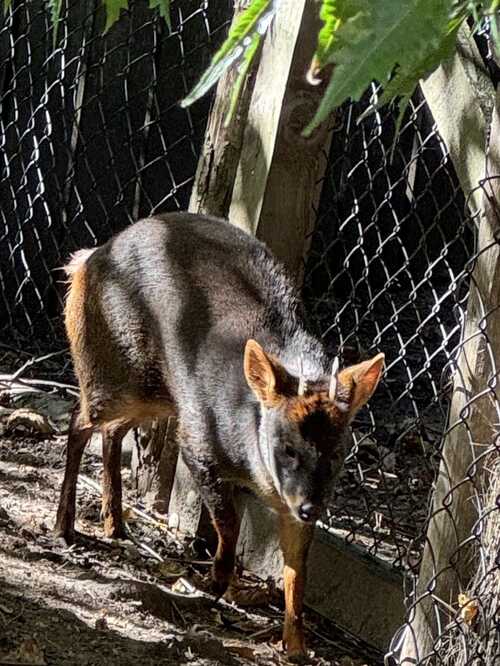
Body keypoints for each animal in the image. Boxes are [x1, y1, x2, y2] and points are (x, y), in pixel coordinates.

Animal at [53, 211, 382, 660]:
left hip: (158, 393)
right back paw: (65, 526)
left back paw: (114, 524)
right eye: (287, 448)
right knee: (79, 420)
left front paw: (295, 645)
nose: (311, 508)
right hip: (120, 372)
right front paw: (215, 580)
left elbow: (297, 570)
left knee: (111, 431)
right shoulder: (199, 442)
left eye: (337, 455)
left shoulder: (291, 500)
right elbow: (227, 519)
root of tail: (87, 259)